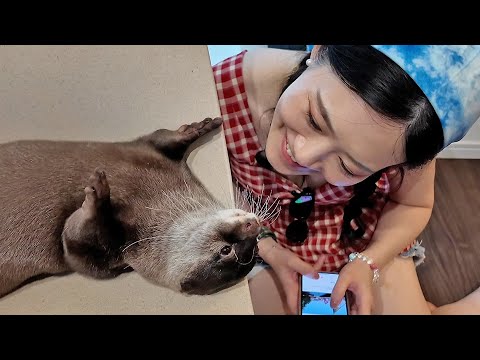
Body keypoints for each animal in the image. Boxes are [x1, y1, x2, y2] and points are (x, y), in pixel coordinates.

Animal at [0, 117, 262, 298]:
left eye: (254, 246)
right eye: (226, 250)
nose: (254, 225)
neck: (159, 199)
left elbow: (75, 248)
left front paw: (95, 201)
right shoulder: (149, 149)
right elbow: (158, 138)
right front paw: (193, 129)